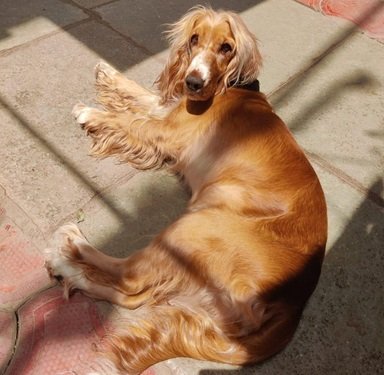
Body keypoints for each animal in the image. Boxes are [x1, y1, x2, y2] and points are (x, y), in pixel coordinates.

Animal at [45, 6, 328, 375]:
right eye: (194, 39)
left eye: (226, 47)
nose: (194, 82)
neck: (229, 88)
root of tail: (291, 306)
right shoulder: (169, 111)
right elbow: (141, 94)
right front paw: (108, 73)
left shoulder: (165, 131)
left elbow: (130, 121)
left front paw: (91, 112)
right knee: (131, 295)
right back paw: (74, 275)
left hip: (193, 228)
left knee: (129, 276)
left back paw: (69, 251)